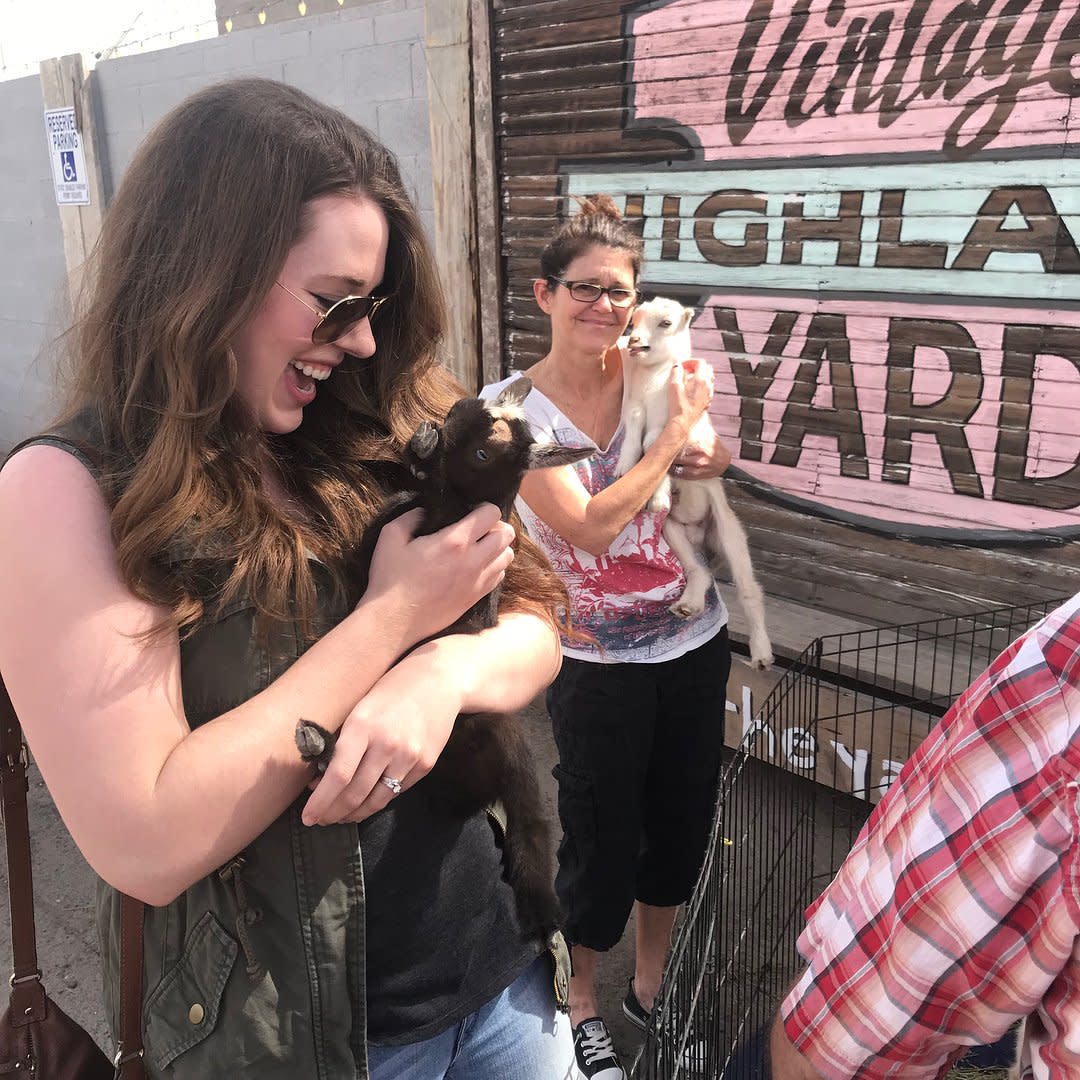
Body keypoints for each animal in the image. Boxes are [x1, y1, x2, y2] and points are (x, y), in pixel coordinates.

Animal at [295, 378, 591, 937]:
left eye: (482, 453)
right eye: (461, 406)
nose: (442, 424)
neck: (461, 500)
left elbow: (414, 495)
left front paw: (423, 452)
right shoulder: (410, 509)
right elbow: (398, 502)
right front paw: (422, 445)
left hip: (481, 754)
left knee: (473, 803)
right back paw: (322, 745)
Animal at [613, 295, 773, 665]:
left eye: (666, 323)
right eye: (634, 319)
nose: (633, 341)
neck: (655, 382)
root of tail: (703, 536)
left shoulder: (680, 427)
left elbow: (654, 442)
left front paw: (656, 493)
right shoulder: (636, 407)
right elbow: (635, 436)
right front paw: (624, 469)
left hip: (729, 532)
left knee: (749, 589)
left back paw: (761, 653)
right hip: (675, 528)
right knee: (700, 570)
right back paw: (688, 605)